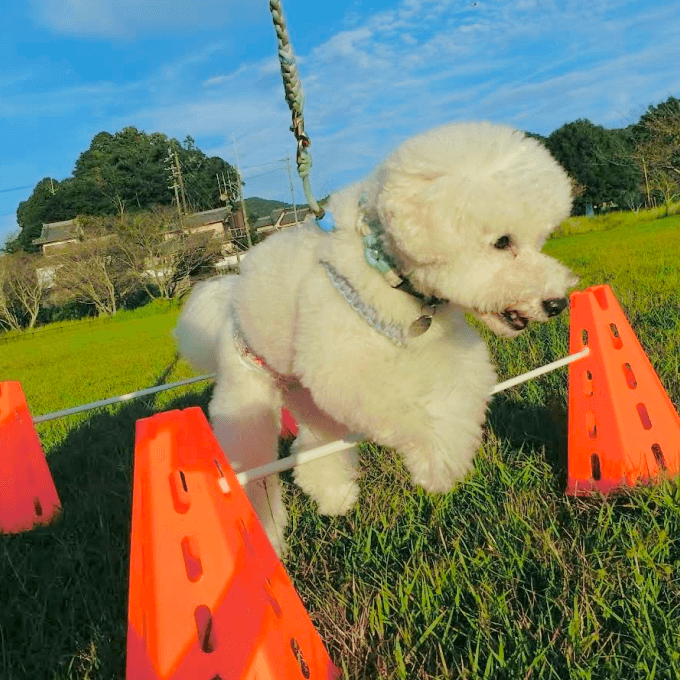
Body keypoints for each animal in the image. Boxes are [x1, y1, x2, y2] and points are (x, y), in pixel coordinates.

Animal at [173, 122, 576, 556]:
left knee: (313, 448)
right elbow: (407, 409)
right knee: (255, 474)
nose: (558, 303)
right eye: (503, 242)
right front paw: (438, 463)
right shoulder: (348, 367)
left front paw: (449, 452)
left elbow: (459, 390)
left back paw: (335, 497)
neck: (382, 265)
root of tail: (228, 302)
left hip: (308, 395)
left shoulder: (442, 348)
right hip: (247, 400)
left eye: (540, 240)